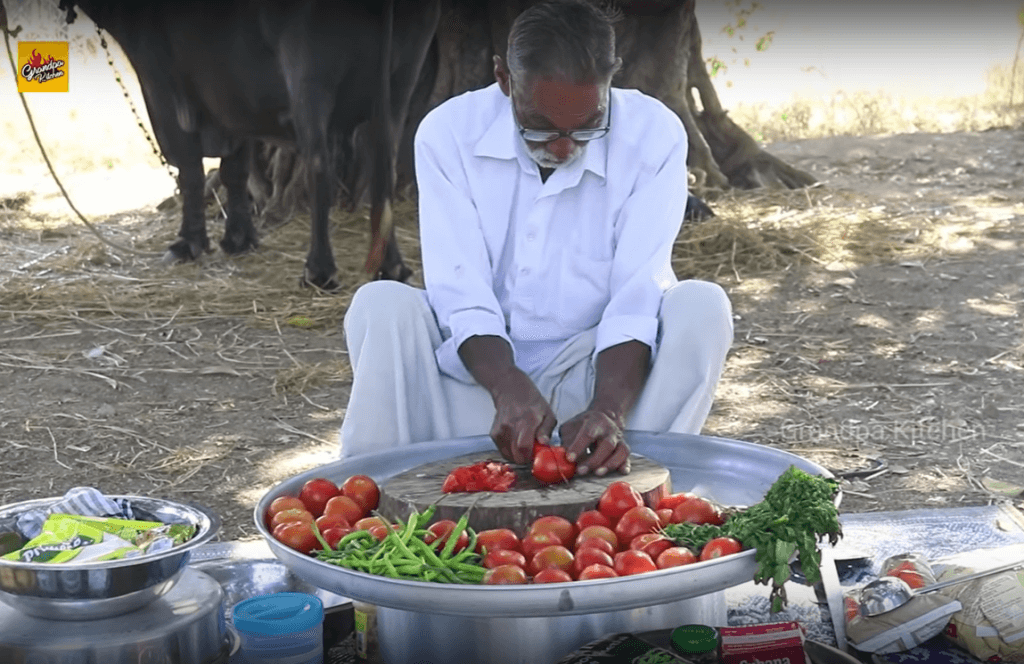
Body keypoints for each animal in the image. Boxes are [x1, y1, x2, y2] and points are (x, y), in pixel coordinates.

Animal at [59, 1, 442, 288]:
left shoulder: (161, 86)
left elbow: (189, 168)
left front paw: (188, 243)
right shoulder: (233, 98)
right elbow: (236, 169)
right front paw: (239, 239)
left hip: (309, 74)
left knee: (320, 164)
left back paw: (318, 271)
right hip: (400, 81)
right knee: (384, 166)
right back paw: (393, 267)